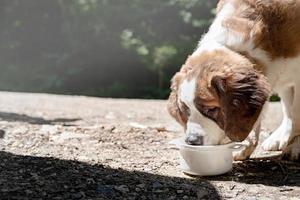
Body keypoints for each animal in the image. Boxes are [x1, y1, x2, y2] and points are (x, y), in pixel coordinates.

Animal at [168, 0, 300, 160]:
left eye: (211, 109)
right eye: (185, 109)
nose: (192, 141)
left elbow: (297, 112)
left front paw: (295, 146)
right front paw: (245, 146)